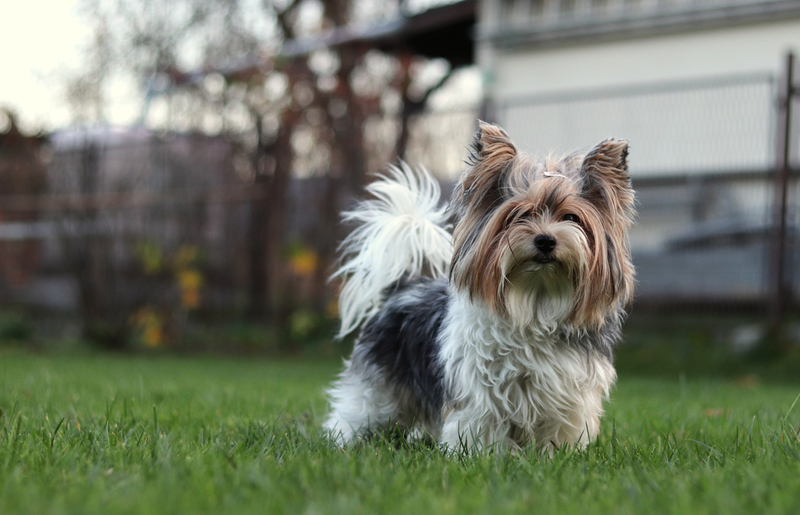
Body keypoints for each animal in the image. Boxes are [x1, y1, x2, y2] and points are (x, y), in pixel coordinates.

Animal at [322, 123, 636, 454]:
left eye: (571, 217)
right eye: (520, 215)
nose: (546, 240)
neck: (536, 300)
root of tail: (402, 287)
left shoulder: (568, 397)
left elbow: (557, 433)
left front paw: (554, 457)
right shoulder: (481, 393)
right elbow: (482, 428)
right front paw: (483, 457)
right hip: (377, 388)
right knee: (356, 413)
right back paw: (343, 442)